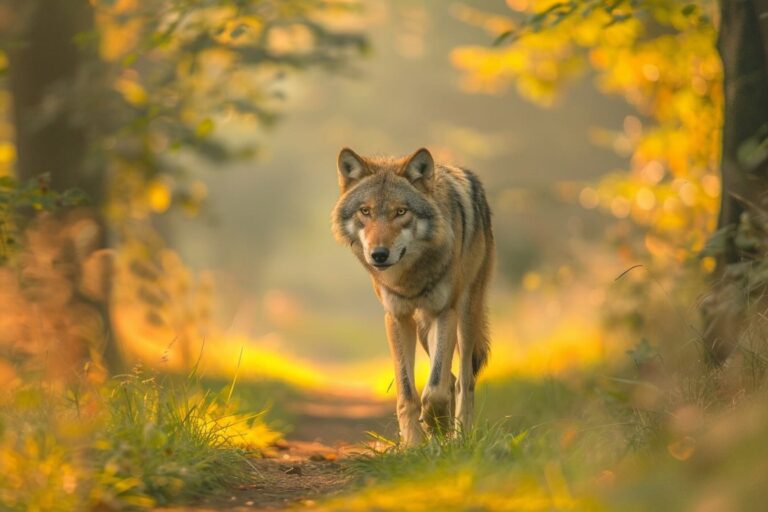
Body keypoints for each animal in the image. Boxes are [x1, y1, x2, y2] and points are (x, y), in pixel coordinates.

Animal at [331, 147, 494, 446]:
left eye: (401, 212)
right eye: (365, 211)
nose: (379, 254)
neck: (411, 276)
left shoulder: (445, 312)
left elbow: (435, 389)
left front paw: (437, 427)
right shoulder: (397, 317)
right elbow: (408, 393)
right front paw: (414, 443)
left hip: (465, 317)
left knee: (463, 381)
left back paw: (460, 437)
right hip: (424, 328)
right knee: (450, 376)